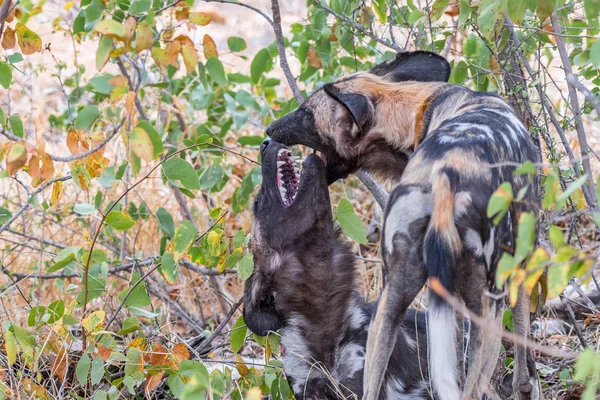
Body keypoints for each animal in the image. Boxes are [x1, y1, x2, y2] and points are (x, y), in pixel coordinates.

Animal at [266, 51, 540, 400]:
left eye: (305, 113)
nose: (269, 129)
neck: (414, 113)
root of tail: (444, 178)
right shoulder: (521, 263)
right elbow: (523, 358)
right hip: (488, 304)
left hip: (388, 307)